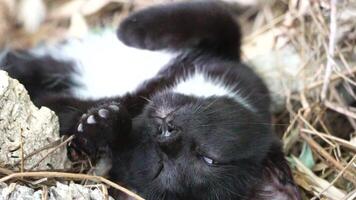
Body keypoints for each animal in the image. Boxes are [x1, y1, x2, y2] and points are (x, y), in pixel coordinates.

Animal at [0, 0, 300, 199]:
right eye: (210, 159)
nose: (166, 131)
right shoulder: (235, 61)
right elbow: (216, 17)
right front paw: (132, 29)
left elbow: (64, 115)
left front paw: (101, 124)